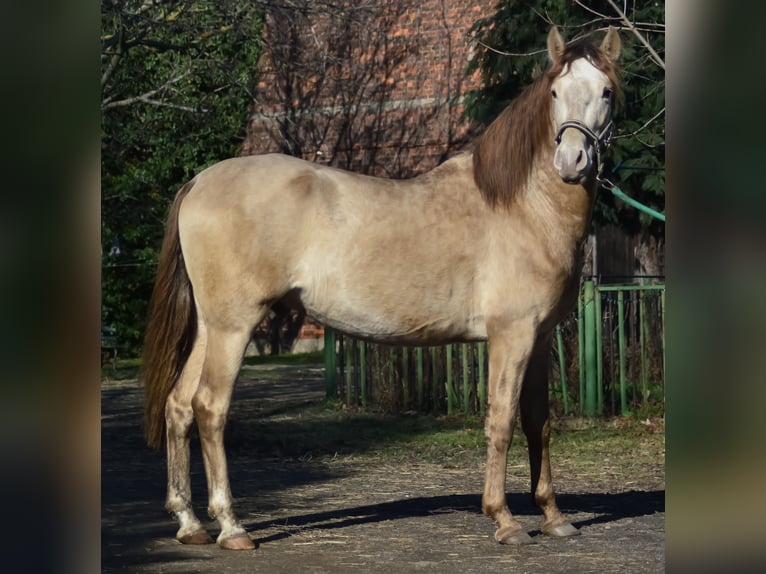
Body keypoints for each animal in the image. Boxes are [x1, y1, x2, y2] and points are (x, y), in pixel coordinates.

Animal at [144, 24, 624, 552]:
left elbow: (539, 422)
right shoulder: (510, 336)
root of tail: (198, 183)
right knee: (210, 408)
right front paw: (504, 520)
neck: (521, 207)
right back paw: (232, 527)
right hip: (234, 326)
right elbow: (501, 422)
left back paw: (190, 523)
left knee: (179, 405)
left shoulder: (538, 341)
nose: (572, 161)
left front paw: (554, 516)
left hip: (209, 326)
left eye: (606, 91)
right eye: (556, 92)